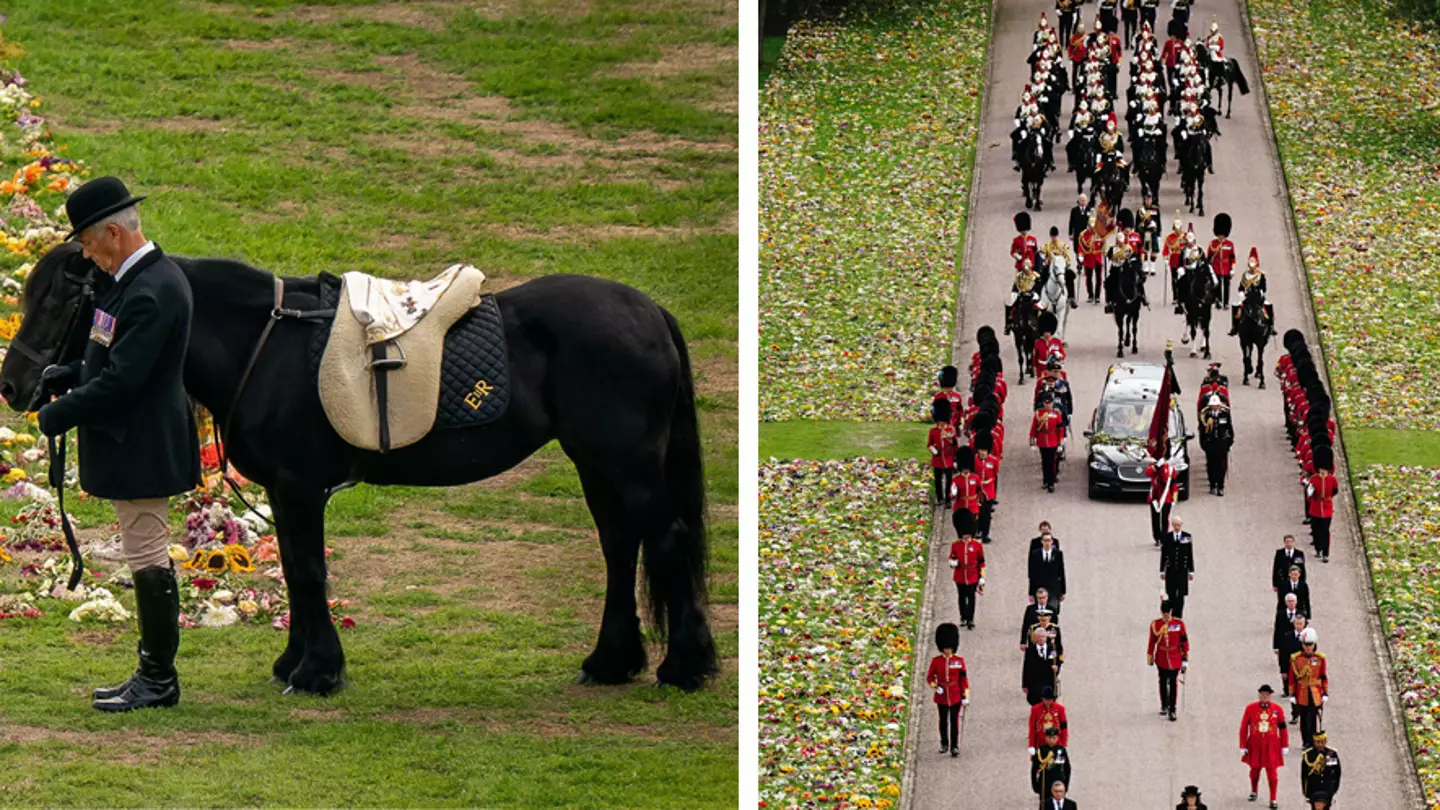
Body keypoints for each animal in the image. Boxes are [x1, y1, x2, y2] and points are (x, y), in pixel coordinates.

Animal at [0, 242, 720, 691]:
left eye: (57, 302)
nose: (15, 387)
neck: (265, 343)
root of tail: (649, 311)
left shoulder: (298, 486)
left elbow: (308, 572)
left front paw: (317, 672)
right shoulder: (286, 490)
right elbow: (298, 571)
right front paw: (295, 663)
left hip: (624, 461)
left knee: (665, 538)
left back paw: (685, 666)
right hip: (597, 461)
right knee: (621, 545)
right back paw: (611, 660)